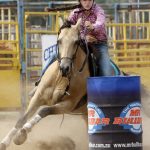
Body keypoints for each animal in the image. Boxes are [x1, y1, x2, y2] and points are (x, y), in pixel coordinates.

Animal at [0, 17, 122, 150]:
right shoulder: (37, 97)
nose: (64, 67)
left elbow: (43, 111)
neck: (60, 79)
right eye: (59, 41)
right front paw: (5, 142)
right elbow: (21, 119)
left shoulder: (68, 105)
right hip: (86, 114)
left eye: (76, 42)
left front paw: (22, 133)